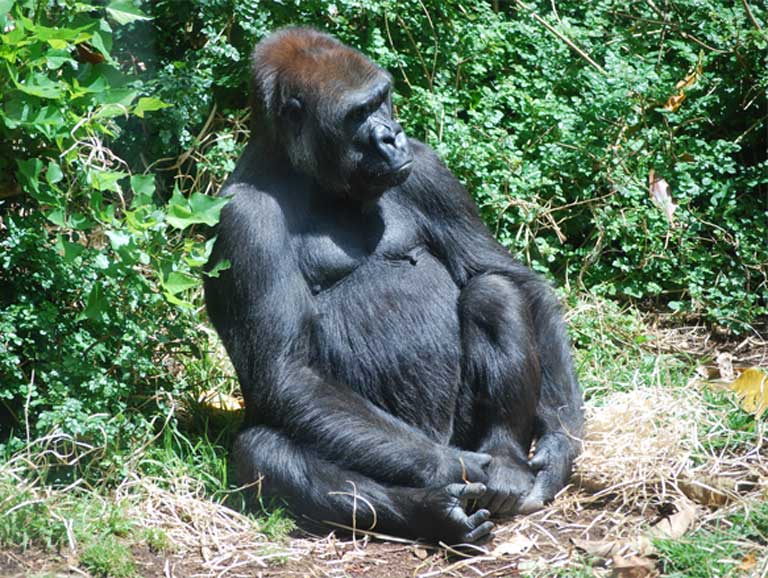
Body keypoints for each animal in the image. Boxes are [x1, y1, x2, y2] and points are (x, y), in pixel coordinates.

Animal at [204, 25, 584, 540]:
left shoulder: (426, 167)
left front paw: (560, 442)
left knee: (493, 292)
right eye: (358, 114)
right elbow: (288, 371)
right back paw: (434, 510)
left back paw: (504, 459)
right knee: (264, 451)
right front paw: (456, 468)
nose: (391, 136)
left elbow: (510, 278)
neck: (306, 173)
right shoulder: (243, 220)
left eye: (382, 100)